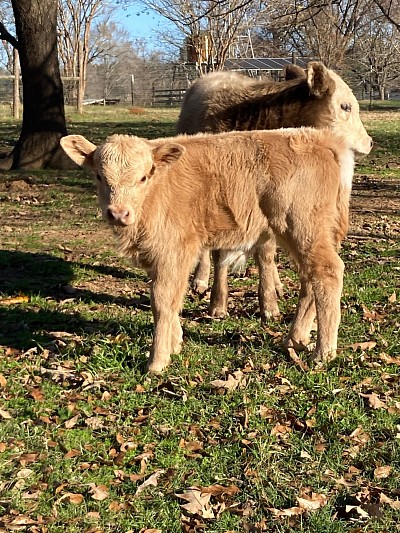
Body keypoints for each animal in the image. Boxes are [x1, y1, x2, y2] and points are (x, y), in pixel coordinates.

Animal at [62, 127, 356, 372]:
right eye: (99, 176)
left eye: (144, 177)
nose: (118, 213)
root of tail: (320, 138)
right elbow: (173, 299)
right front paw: (176, 343)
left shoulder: (174, 251)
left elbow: (162, 300)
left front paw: (157, 361)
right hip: (301, 235)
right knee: (310, 279)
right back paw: (294, 339)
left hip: (303, 226)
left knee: (327, 272)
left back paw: (323, 353)